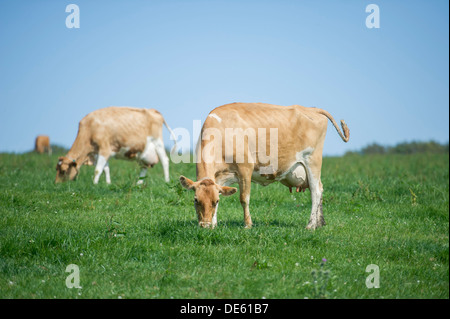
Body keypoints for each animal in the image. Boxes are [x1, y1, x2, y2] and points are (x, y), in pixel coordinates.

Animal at [181, 102, 350, 230]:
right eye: (196, 200)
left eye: (214, 202)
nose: (204, 225)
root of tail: (312, 109)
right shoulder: (220, 178)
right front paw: (214, 225)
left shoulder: (245, 169)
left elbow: (244, 198)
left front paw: (248, 225)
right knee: (320, 189)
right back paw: (319, 223)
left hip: (312, 161)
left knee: (316, 191)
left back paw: (310, 225)